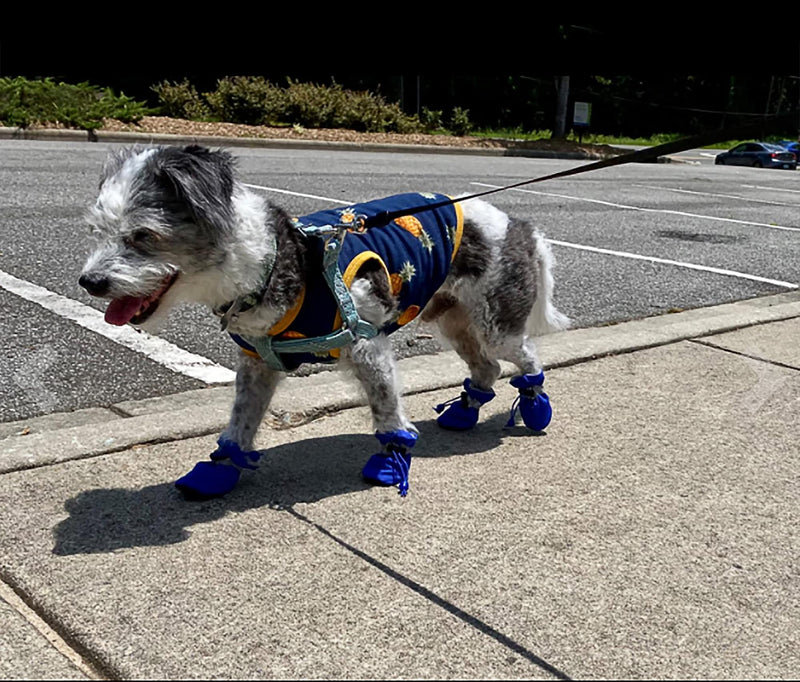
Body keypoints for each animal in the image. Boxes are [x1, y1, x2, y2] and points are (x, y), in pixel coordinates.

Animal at [78, 143, 568, 496]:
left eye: (143, 236)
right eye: (98, 231)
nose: (90, 282)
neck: (274, 259)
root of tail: (521, 225)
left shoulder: (368, 345)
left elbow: (385, 408)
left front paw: (391, 459)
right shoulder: (257, 363)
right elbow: (241, 419)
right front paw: (221, 468)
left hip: (496, 320)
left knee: (524, 357)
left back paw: (534, 404)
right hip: (454, 320)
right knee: (486, 366)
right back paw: (466, 411)